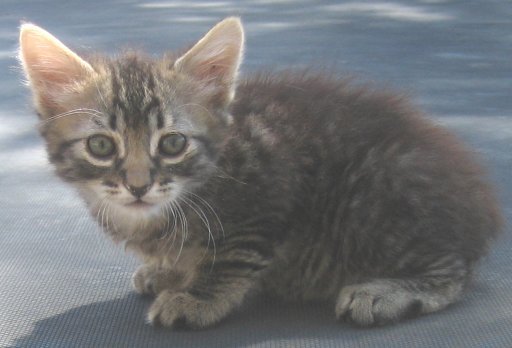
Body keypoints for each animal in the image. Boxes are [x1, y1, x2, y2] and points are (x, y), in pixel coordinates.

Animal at [18, 17, 502, 328]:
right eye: (101, 146)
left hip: (377, 198)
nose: (139, 186)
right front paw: (168, 270)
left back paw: (386, 291)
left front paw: (197, 296)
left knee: (455, 269)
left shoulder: (270, 193)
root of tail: (478, 202)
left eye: (172, 143)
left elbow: (233, 256)